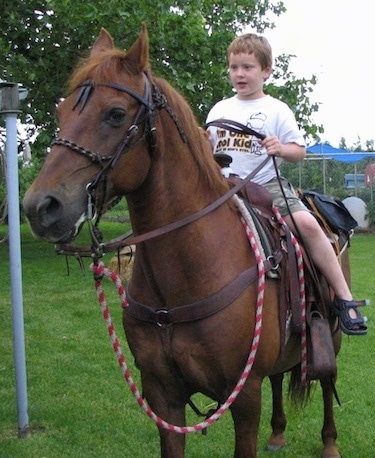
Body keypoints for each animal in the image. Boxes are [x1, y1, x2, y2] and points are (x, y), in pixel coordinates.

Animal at [22, 26, 344, 458]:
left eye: (115, 114)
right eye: (62, 113)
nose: (40, 207)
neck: (185, 274)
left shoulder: (245, 396)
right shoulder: (163, 395)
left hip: (332, 336)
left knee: (326, 381)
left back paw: (329, 443)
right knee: (280, 378)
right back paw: (277, 433)